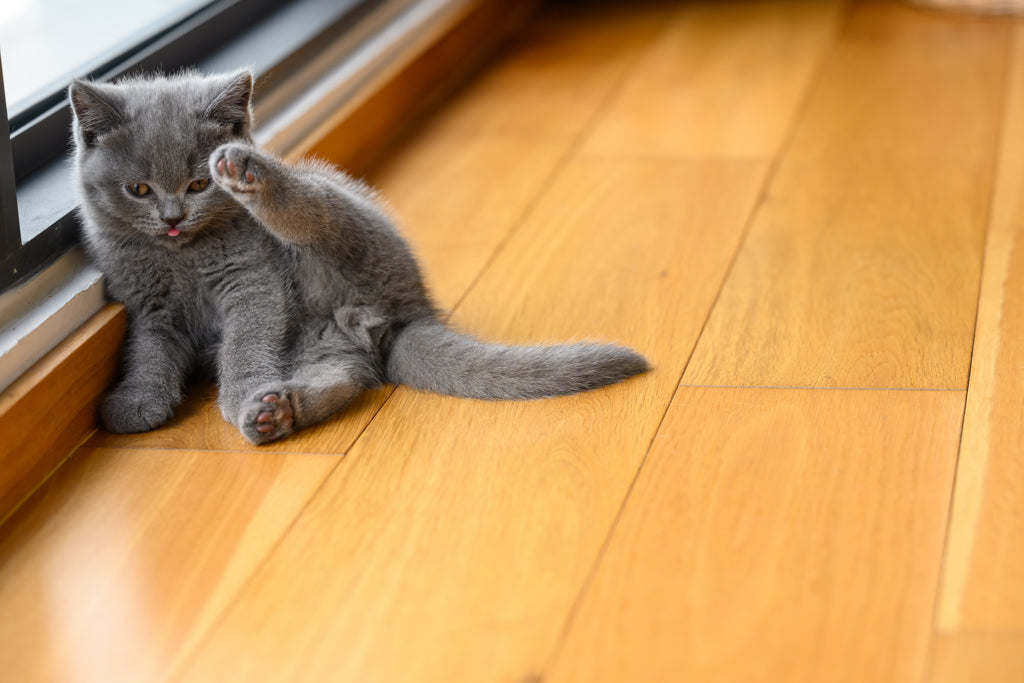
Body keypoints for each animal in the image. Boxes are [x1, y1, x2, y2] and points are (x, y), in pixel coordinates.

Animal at [68, 69, 647, 444]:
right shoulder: (147, 303)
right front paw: (136, 402)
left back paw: (249, 172)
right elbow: (148, 351)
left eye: (196, 184)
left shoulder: (251, 281)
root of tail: (403, 315)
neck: (182, 258)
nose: (171, 217)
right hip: (327, 349)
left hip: (347, 229)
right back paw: (277, 413)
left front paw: (238, 394)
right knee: (343, 379)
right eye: (138, 189)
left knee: (312, 212)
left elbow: (245, 343)